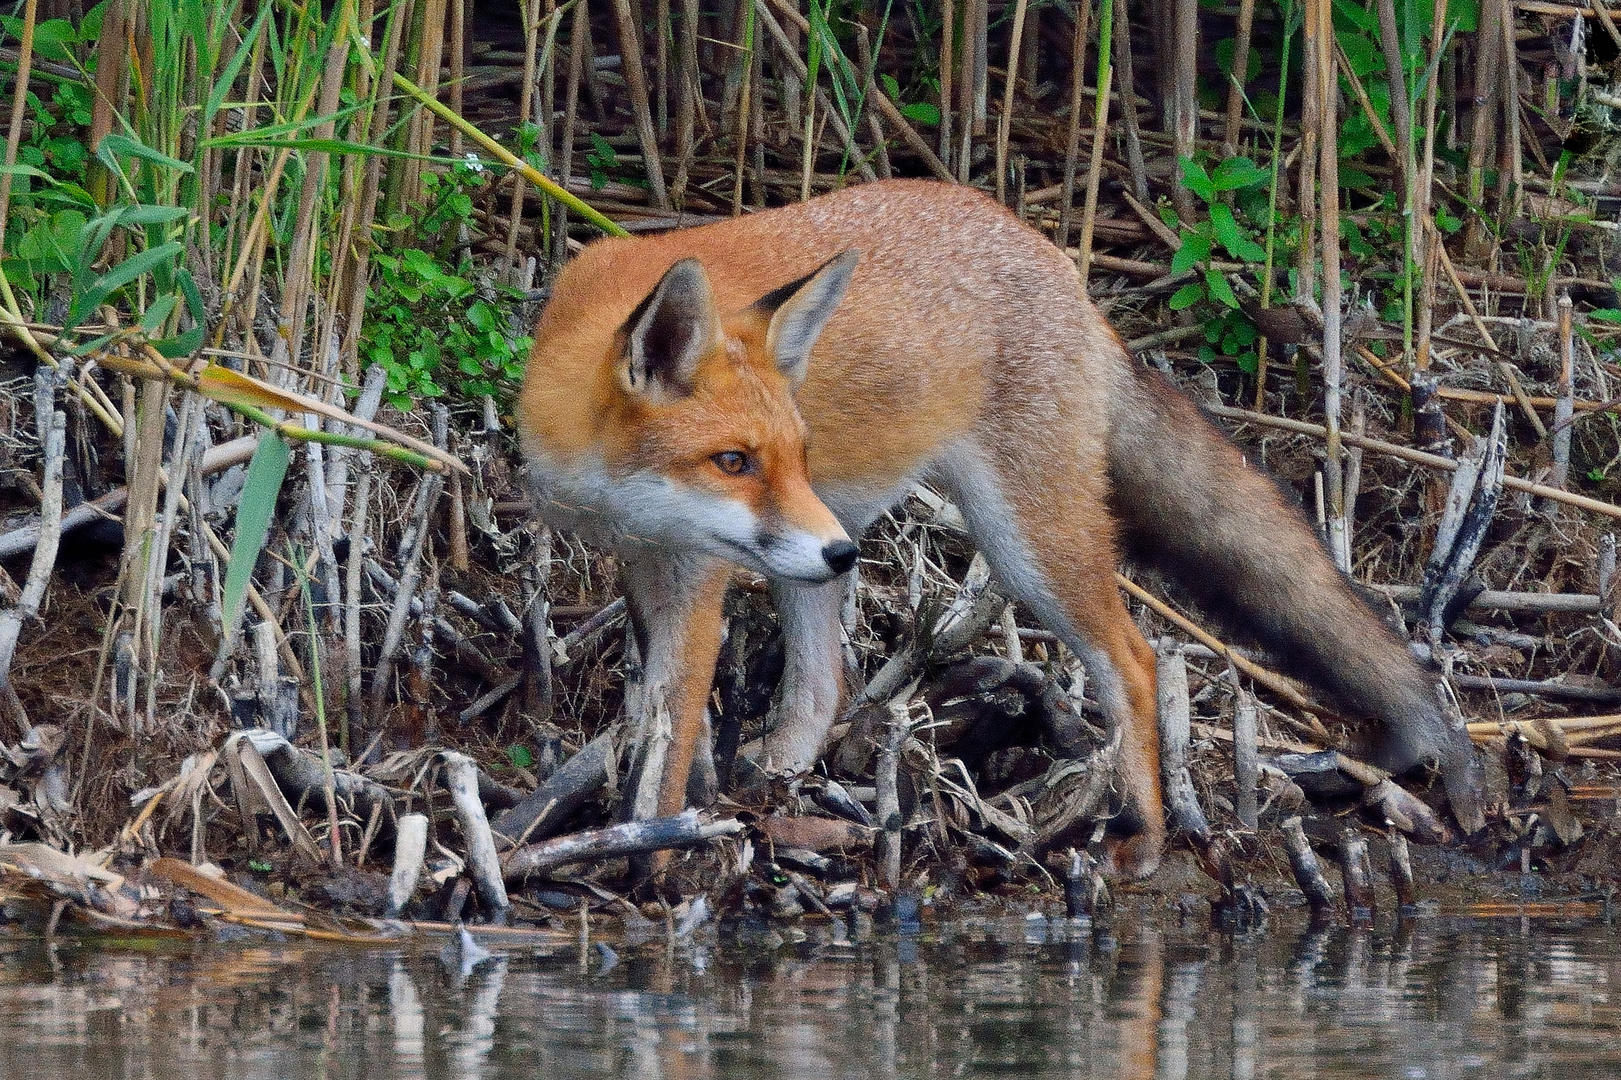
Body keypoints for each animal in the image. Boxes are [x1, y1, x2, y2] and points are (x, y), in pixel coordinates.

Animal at [518, 176, 1484, 875]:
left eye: (790, 452)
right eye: (735, 461)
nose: (844, 551)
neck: (605, 481)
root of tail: (1056, 263)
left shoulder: (696, 583)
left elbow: (671, 736)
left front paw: (649, 861)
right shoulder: (644, 563)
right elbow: (649, 719)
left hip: (1022, 547)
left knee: (1133, 661)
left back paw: (1143, 836)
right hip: (828, 562)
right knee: (825, 686)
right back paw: (781, 789)